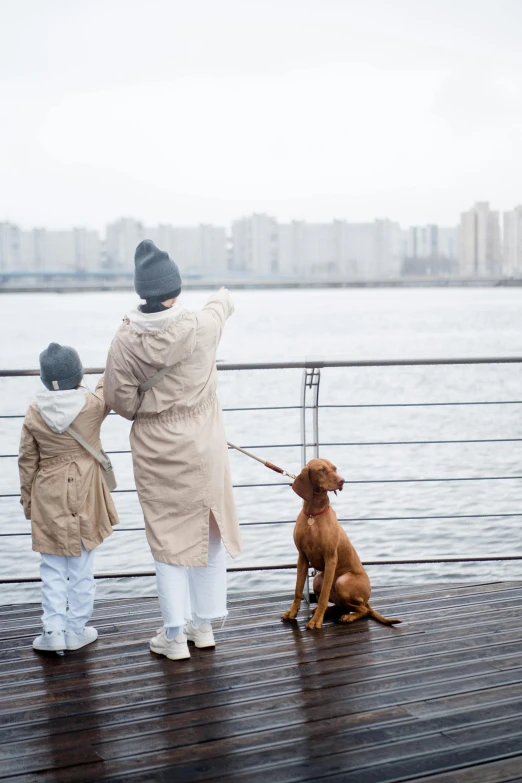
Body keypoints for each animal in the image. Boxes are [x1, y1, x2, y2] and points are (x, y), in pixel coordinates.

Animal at [280, 460, 398, 632]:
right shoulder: (302, 557)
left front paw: (316, 621)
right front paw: (292, 612)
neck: (312, 514)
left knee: (363, 609)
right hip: (318, 579)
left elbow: (323, 596)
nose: (342, 481)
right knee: (345, 606)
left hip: (342, 581)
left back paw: (348, 617)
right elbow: (297, 589)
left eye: (334, 468)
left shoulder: (330, 558)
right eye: (322, 470)